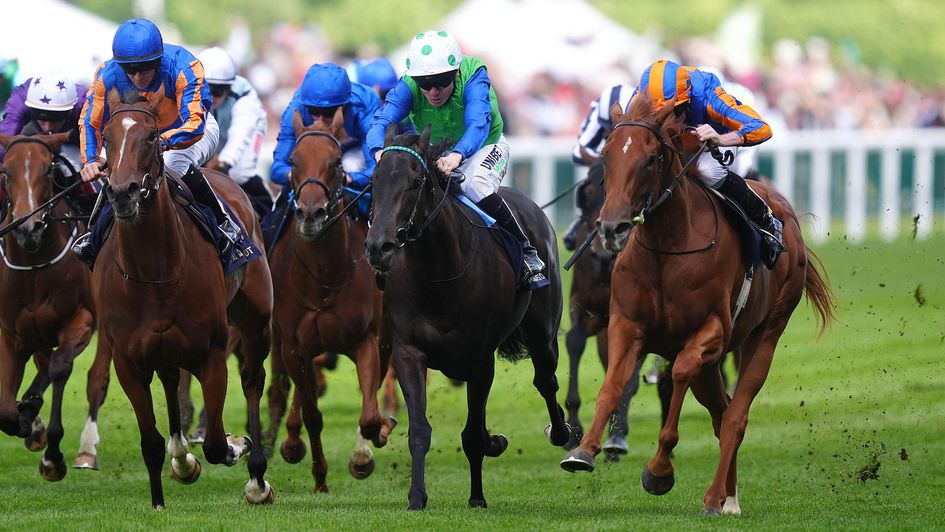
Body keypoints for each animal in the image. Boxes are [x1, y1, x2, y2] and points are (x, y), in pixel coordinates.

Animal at [0, 132, 110, 478]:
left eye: (48, 170)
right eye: (5, 171)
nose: (29, 228)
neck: (35, 266)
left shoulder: (81, 320)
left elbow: (61, 367)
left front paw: (52, 455)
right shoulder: (11, 332)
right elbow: (6, 409)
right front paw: (26, 418)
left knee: (96, 379)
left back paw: (86, 449)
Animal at [93, 89, 272, 510]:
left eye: (151, 136)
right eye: (106, 136)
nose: (122, 193)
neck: (154, 270)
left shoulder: (211, 353)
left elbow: (216, 443)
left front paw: (238, 444)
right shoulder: (128, 361)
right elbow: (151, 443)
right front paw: (160, 498)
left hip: (257, 319)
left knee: (253, 379)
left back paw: (257, 478)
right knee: (171, 381)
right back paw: (183, 459)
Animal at [268, 110, 392, 492]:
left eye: (337, 162)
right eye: (293, 161)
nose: (311, 213)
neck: (324, 277)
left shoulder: (367, 340)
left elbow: (369, 414)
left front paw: (367, 449)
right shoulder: (293, 345)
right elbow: (312, 414)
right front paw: (319, 478)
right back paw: (291, 440)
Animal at [364, 125, 568, 512]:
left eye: (415, 182)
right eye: (373, 181)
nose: (378, 247)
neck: (439, 275)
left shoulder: (480, 360)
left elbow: (473, 435)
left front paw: (477, 495)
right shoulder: (409, 353)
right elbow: (420, 430)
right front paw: (416, 497)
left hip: (543, 333)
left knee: (546, 381)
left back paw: (564, 432)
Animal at [556, 94, 828, 516]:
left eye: (651, 159)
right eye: (607, 157)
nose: (612, 229)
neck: (667, 249)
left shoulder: (710, 332)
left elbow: (679, 372)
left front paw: (659, 471)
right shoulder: (623, 323)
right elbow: (614, 383)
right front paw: (583, 450)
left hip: (763, 336)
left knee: (735, 417)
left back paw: (716, 498)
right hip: (711, 365)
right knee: (722, 412)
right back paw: (729, 497)